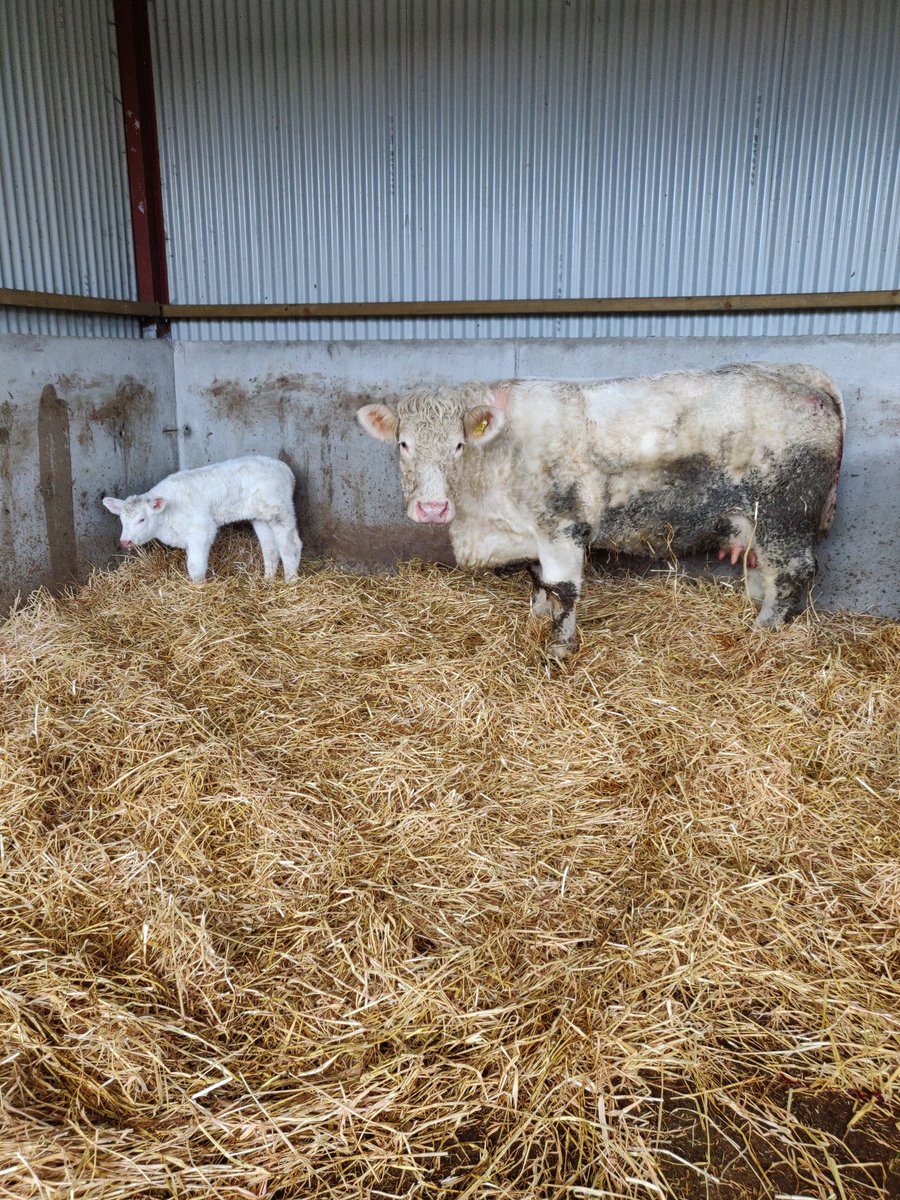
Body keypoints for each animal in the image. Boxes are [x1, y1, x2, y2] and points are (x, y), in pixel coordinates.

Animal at [103, 453, 303, 580]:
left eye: (142, 519)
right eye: (122, 520)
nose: (125, 541)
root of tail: (283, 468)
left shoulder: (202, 530)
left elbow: (195, 566)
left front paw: (199, 589)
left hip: (280, 511)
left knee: (291, 545)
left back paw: (290, 581)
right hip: (261, 518)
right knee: (270, 548)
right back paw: (267, 580)